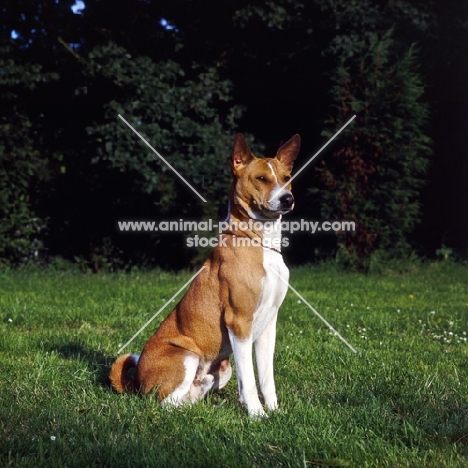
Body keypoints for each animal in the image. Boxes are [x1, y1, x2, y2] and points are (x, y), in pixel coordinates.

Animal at [109, 133, 300, 416]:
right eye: (261, 178)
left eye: (286, 177)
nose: (287, 199)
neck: (260, 243)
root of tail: (136, 382)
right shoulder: (238, 322)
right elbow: (249, 380)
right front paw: (257, 416)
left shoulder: (268, 323)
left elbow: (266, 378)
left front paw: (275, 412)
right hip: (187, 356)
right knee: (164, 403)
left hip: (222, 367)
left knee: (190, 394)